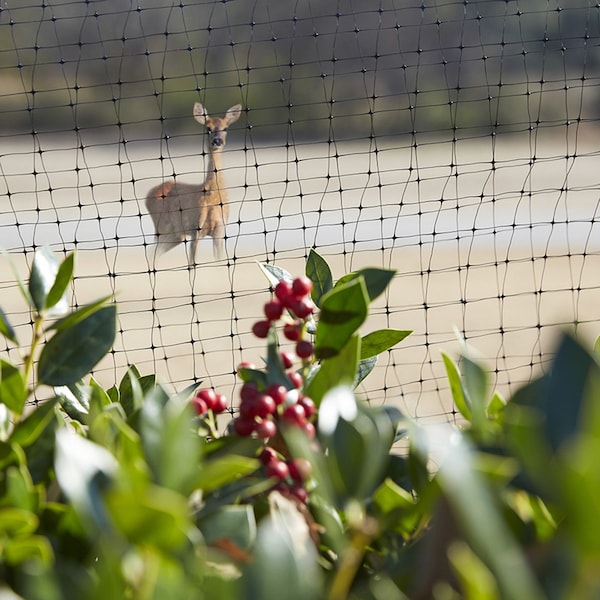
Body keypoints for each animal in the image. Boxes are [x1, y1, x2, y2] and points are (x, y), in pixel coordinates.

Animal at [145, 103, 241, 264]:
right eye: (208, 128)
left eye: (225, 128)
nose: (217, 141)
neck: (212, 196)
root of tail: (147, 195)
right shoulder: (196, 229)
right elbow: (192, 263)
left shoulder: (220, 230)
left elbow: (219, 261)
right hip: (163, 226)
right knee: (152, 252)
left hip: (176, 234)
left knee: (154, 253)